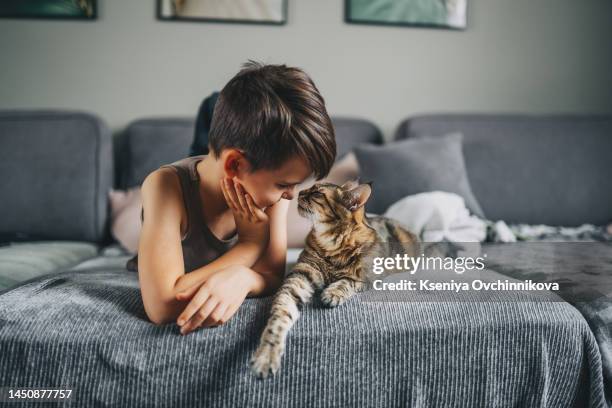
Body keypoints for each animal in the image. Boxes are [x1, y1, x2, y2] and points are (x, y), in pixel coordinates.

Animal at [250, 180, 420, 378]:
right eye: (310, 188)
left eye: (317, 193)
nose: (300, 192)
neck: (332, 245)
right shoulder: (301, 274)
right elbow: (281, 313)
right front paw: (267, 353)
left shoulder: (365, 278)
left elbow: (346, 282)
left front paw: (332, 293)